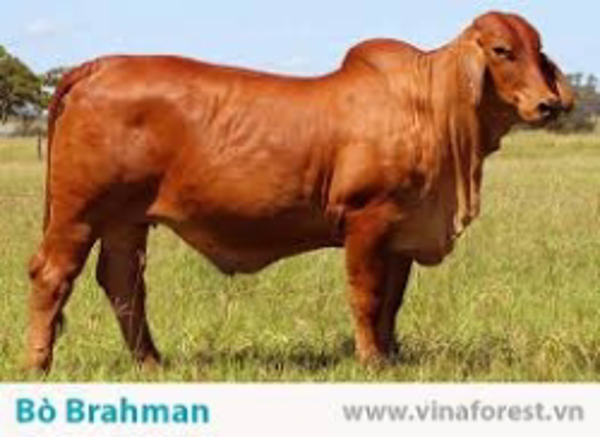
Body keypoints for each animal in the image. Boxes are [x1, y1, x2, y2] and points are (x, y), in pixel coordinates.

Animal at [27, 11, 573, 372]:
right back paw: (39, 363)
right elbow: (366, 296)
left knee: (123, 283)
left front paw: (391, 357)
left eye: (538, 49)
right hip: (78, 213)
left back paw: (151, 363)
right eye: (501, 50)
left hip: (127, 220)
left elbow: (392, 303)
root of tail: (98, 65)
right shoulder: (366, 220)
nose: (547, 105)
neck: (429, 108)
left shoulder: (403, 231)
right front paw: (370, 360)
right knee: (53, 276)